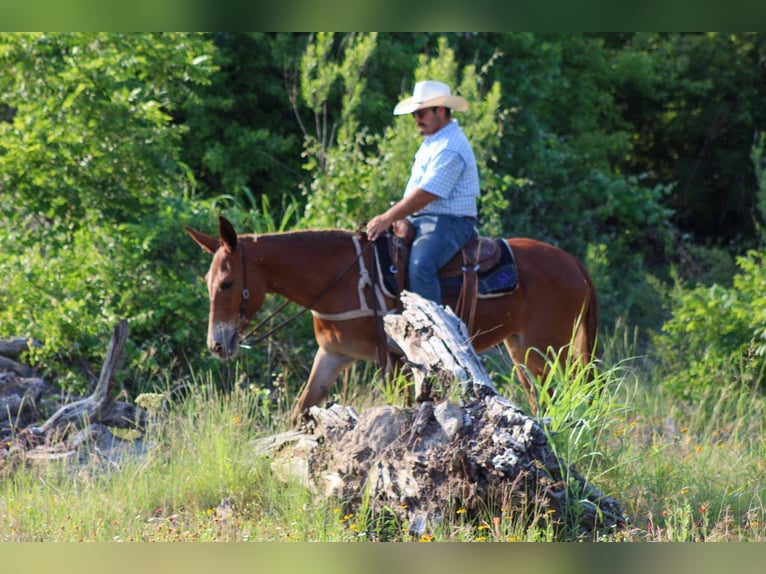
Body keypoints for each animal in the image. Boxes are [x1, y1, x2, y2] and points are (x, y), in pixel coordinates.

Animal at [186, 216, 598, 425]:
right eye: (207, 282)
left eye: (227, 283)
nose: (216, 344)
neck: (345, 277)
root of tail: (574, 263)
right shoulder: (333, 355)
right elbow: (302, 408)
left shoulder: (397, 361)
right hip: (522, 351)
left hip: (547, 351)